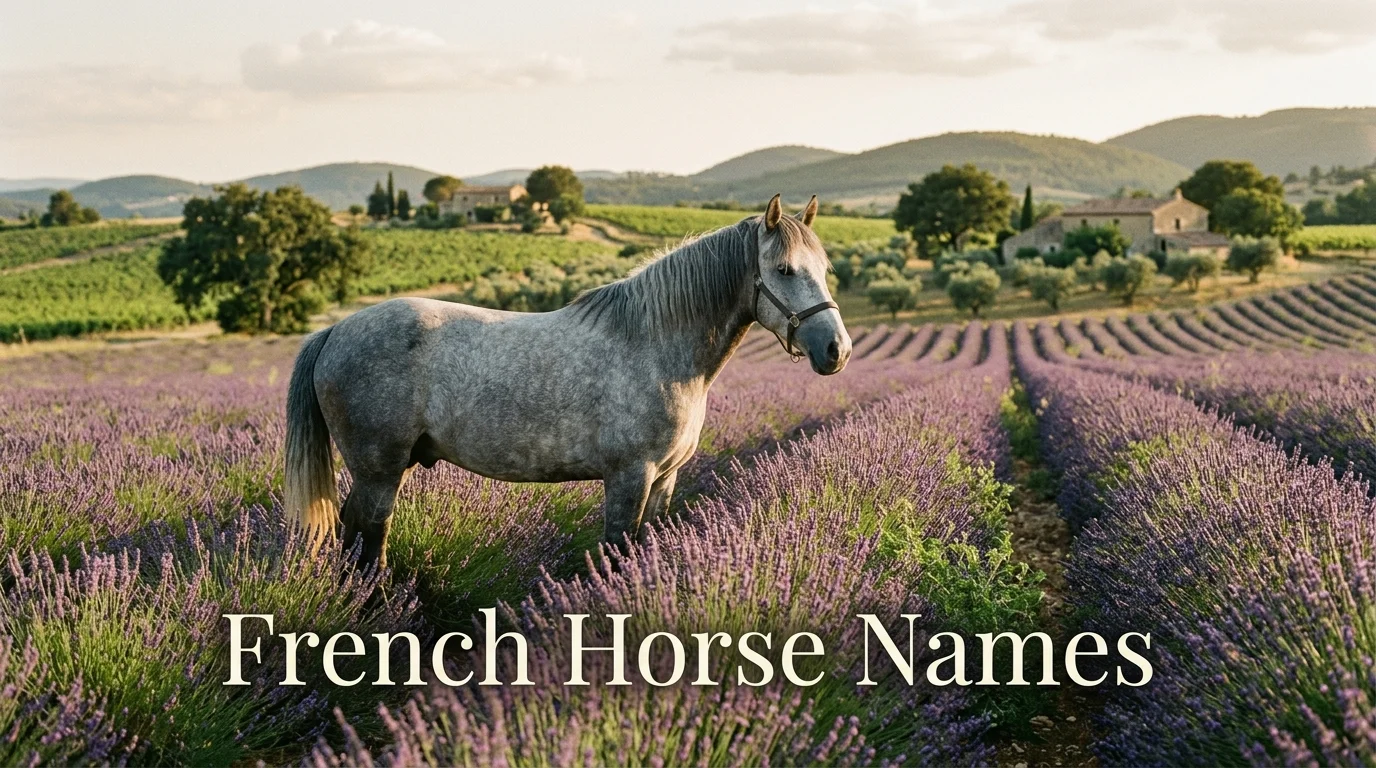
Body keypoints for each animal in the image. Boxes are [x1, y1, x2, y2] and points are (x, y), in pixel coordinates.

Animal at [284, 194, 851, 568]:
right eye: (783, 269)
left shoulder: (664, 479)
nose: (836, 350)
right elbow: (618, 550)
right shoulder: (629, 477)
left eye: (824, 268)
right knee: (367, 545)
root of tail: (335, 331)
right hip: (378, 472)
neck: (656, 344)